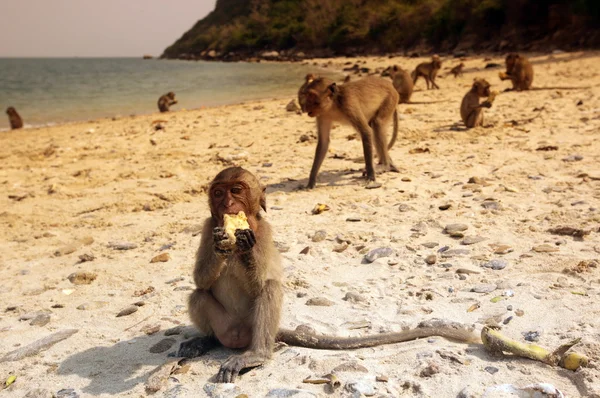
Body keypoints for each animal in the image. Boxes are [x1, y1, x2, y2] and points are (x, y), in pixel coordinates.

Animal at [179, 166, 482, 382]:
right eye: (219, 193)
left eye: (236, 190)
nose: (227, 204)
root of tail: (242, 338)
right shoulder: (207, 225)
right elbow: (200, 280)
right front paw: (222, 243)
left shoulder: (264, 232)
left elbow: (261, 284)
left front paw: (242, 243)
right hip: (227, 327)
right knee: (197, 294)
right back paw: (208, 339)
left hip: (253, 330)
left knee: (270, 289)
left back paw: (256, 355)